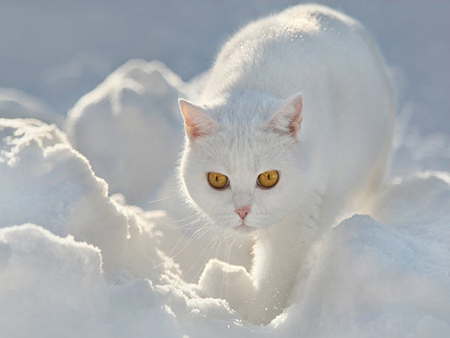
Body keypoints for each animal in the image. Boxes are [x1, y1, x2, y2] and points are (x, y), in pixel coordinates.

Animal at [178, 3, 394, 324]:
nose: (242, 211)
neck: (252, 82)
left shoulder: (300, 215)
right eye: (217, 180)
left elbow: (274, 282)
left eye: (269, 178)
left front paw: (256, 320)